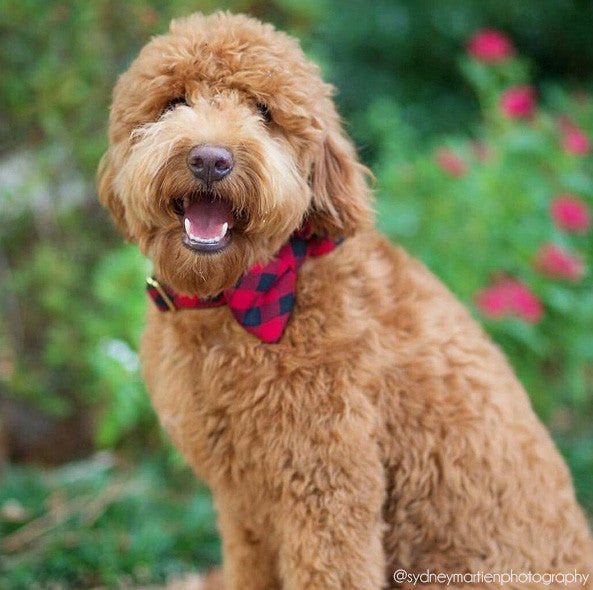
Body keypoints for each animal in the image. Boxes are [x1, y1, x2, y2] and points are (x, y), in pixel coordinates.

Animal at [97, 10, 592, 590]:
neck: (235, 301)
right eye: (174, 101)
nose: (210, 159)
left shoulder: (327, 490)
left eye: (263, 112)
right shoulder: (243, 508)